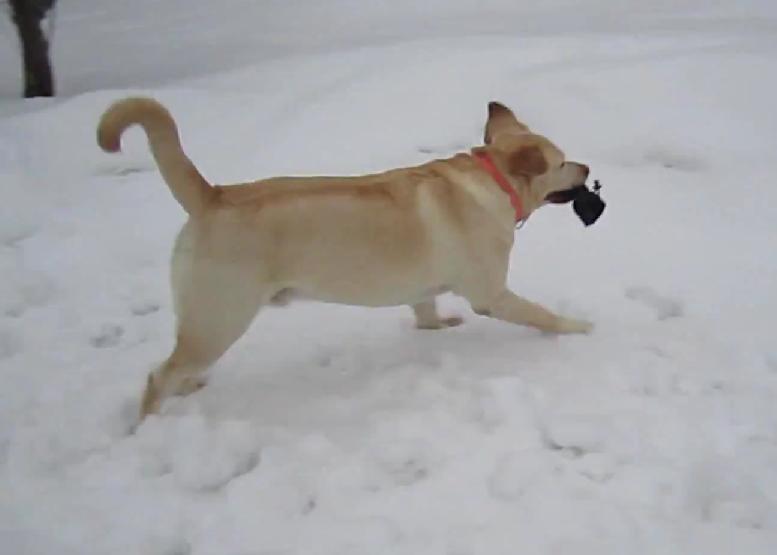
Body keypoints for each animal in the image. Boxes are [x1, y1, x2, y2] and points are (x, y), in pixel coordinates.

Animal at [98, 99, 596, 422]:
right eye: (562, 162)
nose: (588, 167)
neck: (492, 179)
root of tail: (213, 197)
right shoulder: (492, 294)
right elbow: (541, 314)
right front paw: (578, 328)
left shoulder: (422, 288)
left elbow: (425, 310)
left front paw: (436, 327)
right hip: (220, 318)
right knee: (157, 377)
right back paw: (148, 425)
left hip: (204, 323)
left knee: (176, 366)